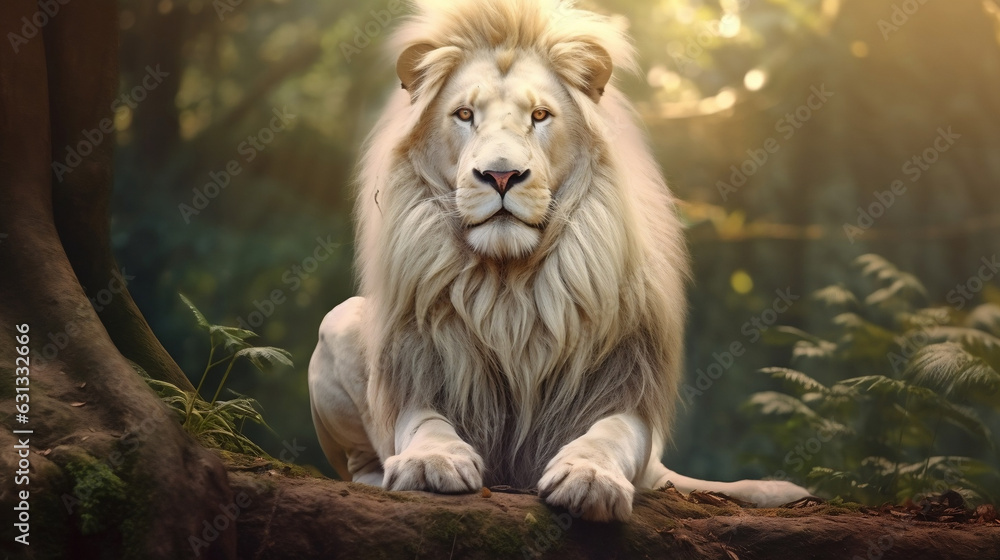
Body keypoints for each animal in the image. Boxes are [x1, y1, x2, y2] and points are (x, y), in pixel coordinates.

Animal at [308, 0, 810, 521]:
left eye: (540, 115)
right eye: (464, 114)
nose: (501, 175)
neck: (508, 287)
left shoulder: (627, 387)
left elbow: (608, 435)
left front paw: (588, 478)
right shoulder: (415, 375)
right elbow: (423, 424)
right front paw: (431, 462)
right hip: (339, 320)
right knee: (360, 463)